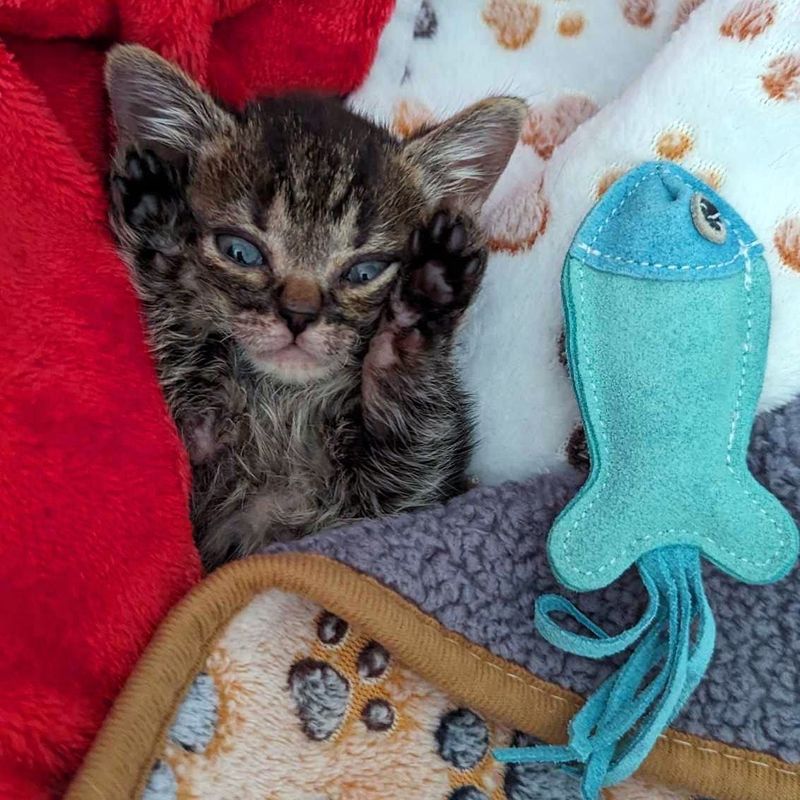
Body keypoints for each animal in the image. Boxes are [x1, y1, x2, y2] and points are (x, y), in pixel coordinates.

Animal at [104, 45, 524, 568]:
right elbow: (179, 338)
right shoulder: (193, 445)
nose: (298, 316)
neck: (285, 399)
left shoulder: (412, 489)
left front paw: (425, 299)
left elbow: (416, 426)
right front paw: (163, 235)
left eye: (364, 272)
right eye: (240, 252)